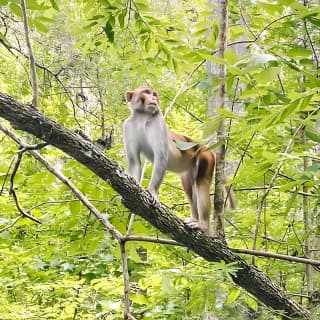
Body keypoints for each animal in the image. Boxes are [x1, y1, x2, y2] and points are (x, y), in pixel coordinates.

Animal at [124, 86, 216, 234]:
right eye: (146, 92)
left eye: (154, 94)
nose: (153, 98)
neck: (142, 117)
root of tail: (210, 150)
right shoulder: (128, 126)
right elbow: (134, 162)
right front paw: (133, 187)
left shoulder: (158, 122)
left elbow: (161, 156)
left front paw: (153, 192)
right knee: (189, 188)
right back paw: (194, 218)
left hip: (205, 157)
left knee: (201, 182)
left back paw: (203, 225)